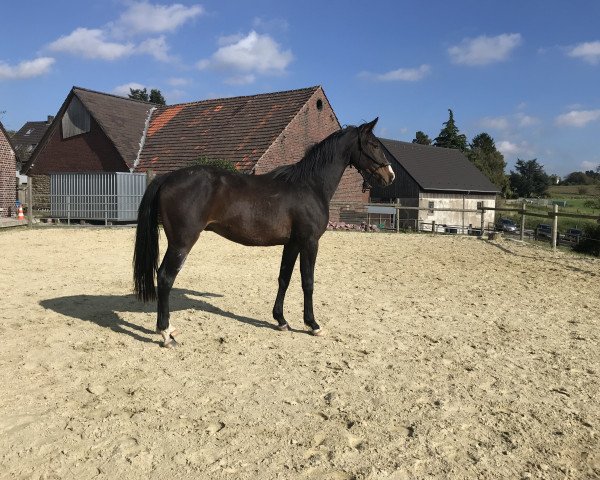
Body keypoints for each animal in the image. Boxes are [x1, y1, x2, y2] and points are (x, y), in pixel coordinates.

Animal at [133, 118, 394, 346]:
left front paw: (281, 320)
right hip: (181, 243)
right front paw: (313, 324)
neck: (310, 185)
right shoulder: (309, 242)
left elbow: (284, 278)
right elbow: (308, 282)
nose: (390, 176)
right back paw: (166, 333)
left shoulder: (292, 243)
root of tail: (167, 177)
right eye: (374, 145)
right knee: (165, 278)